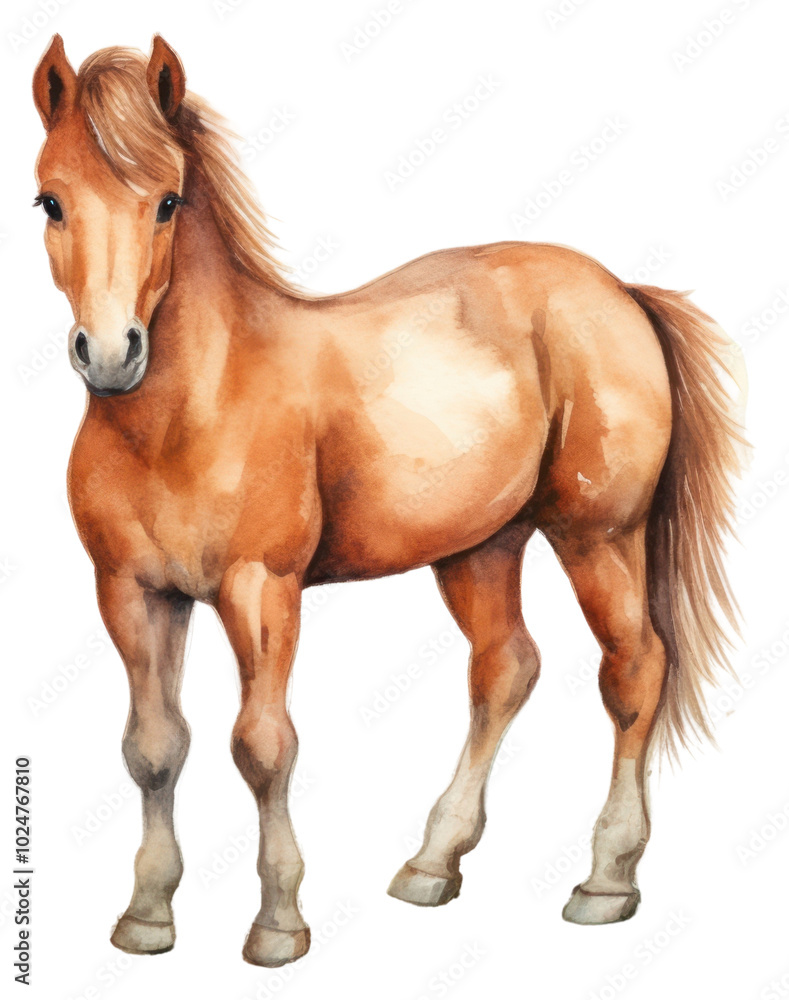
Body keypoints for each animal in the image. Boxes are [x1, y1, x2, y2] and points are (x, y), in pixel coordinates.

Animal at [32, 34, 745, 968]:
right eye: (49, 200)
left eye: (167, 202)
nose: (112, 353)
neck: (190, 409)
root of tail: (619, 291)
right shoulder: (133, 592)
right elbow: (153, 749)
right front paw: (147, 916)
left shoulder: (261, 590)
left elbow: (262, 746)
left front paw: (278, 924)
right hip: (481, 546)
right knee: (506, 667)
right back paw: (432, 862)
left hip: (599, 537)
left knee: (633, 669)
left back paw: (605, 880)